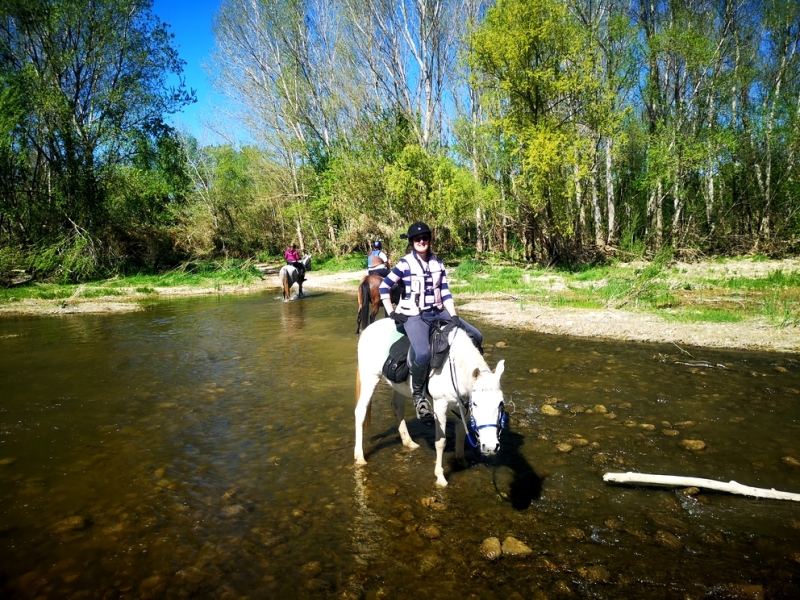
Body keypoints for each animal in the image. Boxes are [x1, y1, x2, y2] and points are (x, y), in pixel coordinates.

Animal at [354, 318, 506, 488]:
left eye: (501, 404)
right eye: (476, 404)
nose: (491, 446)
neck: (455, 366)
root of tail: (368, 329)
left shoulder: (463, 406)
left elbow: (461, 435)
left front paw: (462, 462)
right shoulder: (440, 405)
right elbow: (441, 442)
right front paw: (440, 477)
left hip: (398, 385)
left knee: (397, 407)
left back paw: (409, 442)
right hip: (370, 377)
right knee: (360, 411)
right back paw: (360, 457)